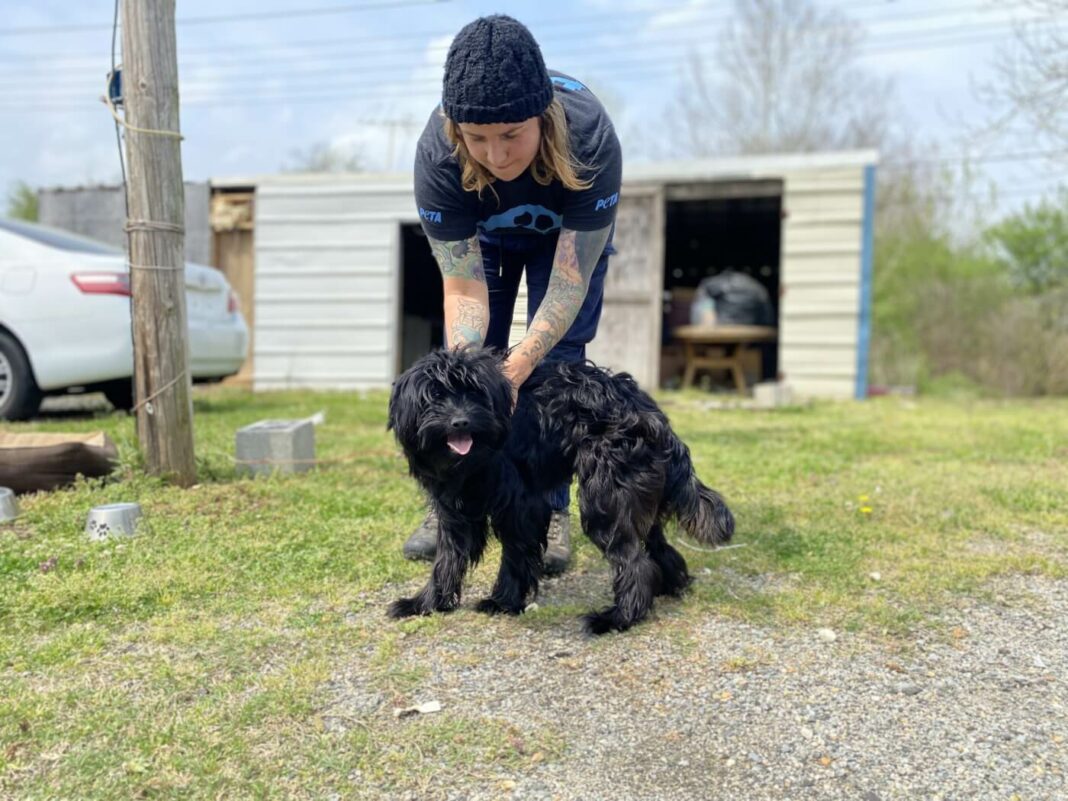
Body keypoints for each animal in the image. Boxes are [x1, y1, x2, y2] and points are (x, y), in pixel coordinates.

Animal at [386, 348, 734, 636]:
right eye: (434, 396)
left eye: (474, 392)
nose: (460, 421)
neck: (474, 458)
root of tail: (649, 411)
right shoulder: (453, 510)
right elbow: (446, 560)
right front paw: (426, 604)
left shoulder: (521, 506)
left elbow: (514, 556)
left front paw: (503, 602)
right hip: (638, 497)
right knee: (655, 546)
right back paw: (669, 587)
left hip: (606, 500)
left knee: (634, 561)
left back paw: (618, 618)